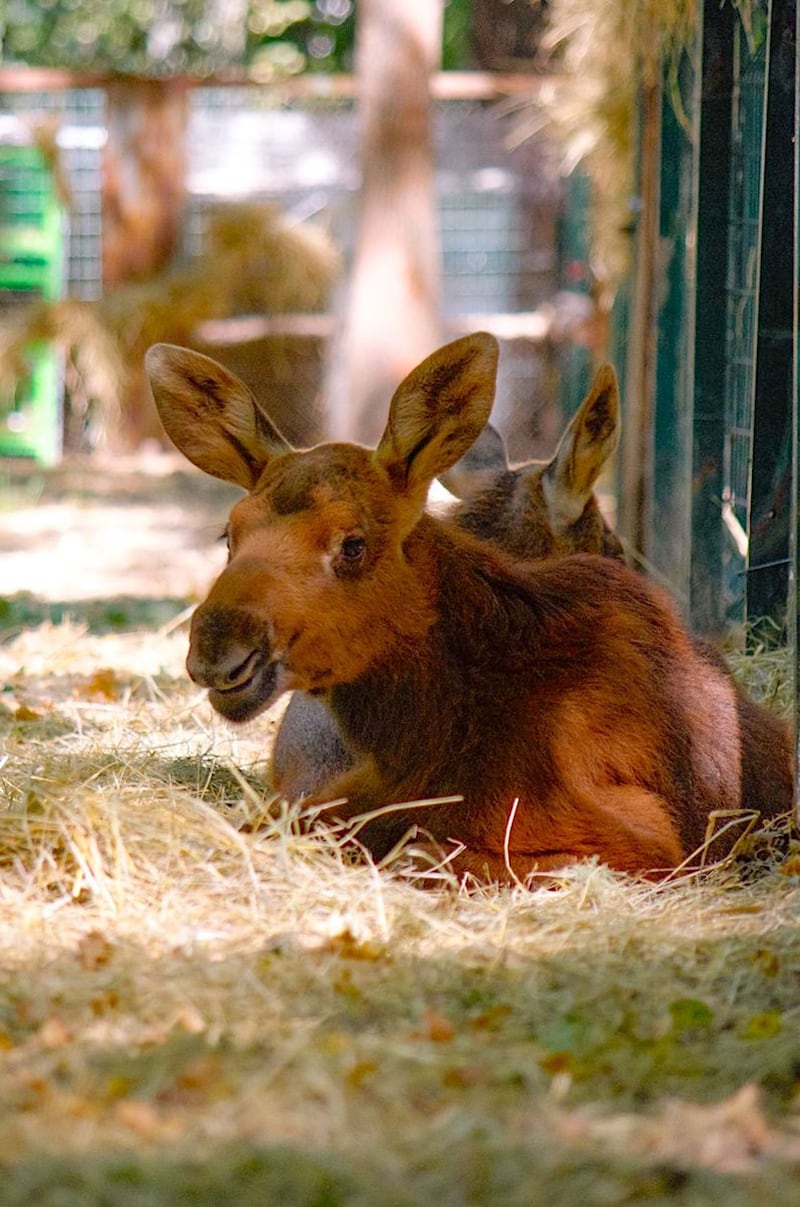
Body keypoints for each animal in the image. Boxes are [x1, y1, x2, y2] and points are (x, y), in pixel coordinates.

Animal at [147, 335, 791, 883]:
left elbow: (420, 852)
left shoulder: (650, 841)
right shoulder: (311, 802)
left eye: (353, 544)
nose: (219, 648)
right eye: (228, 534)